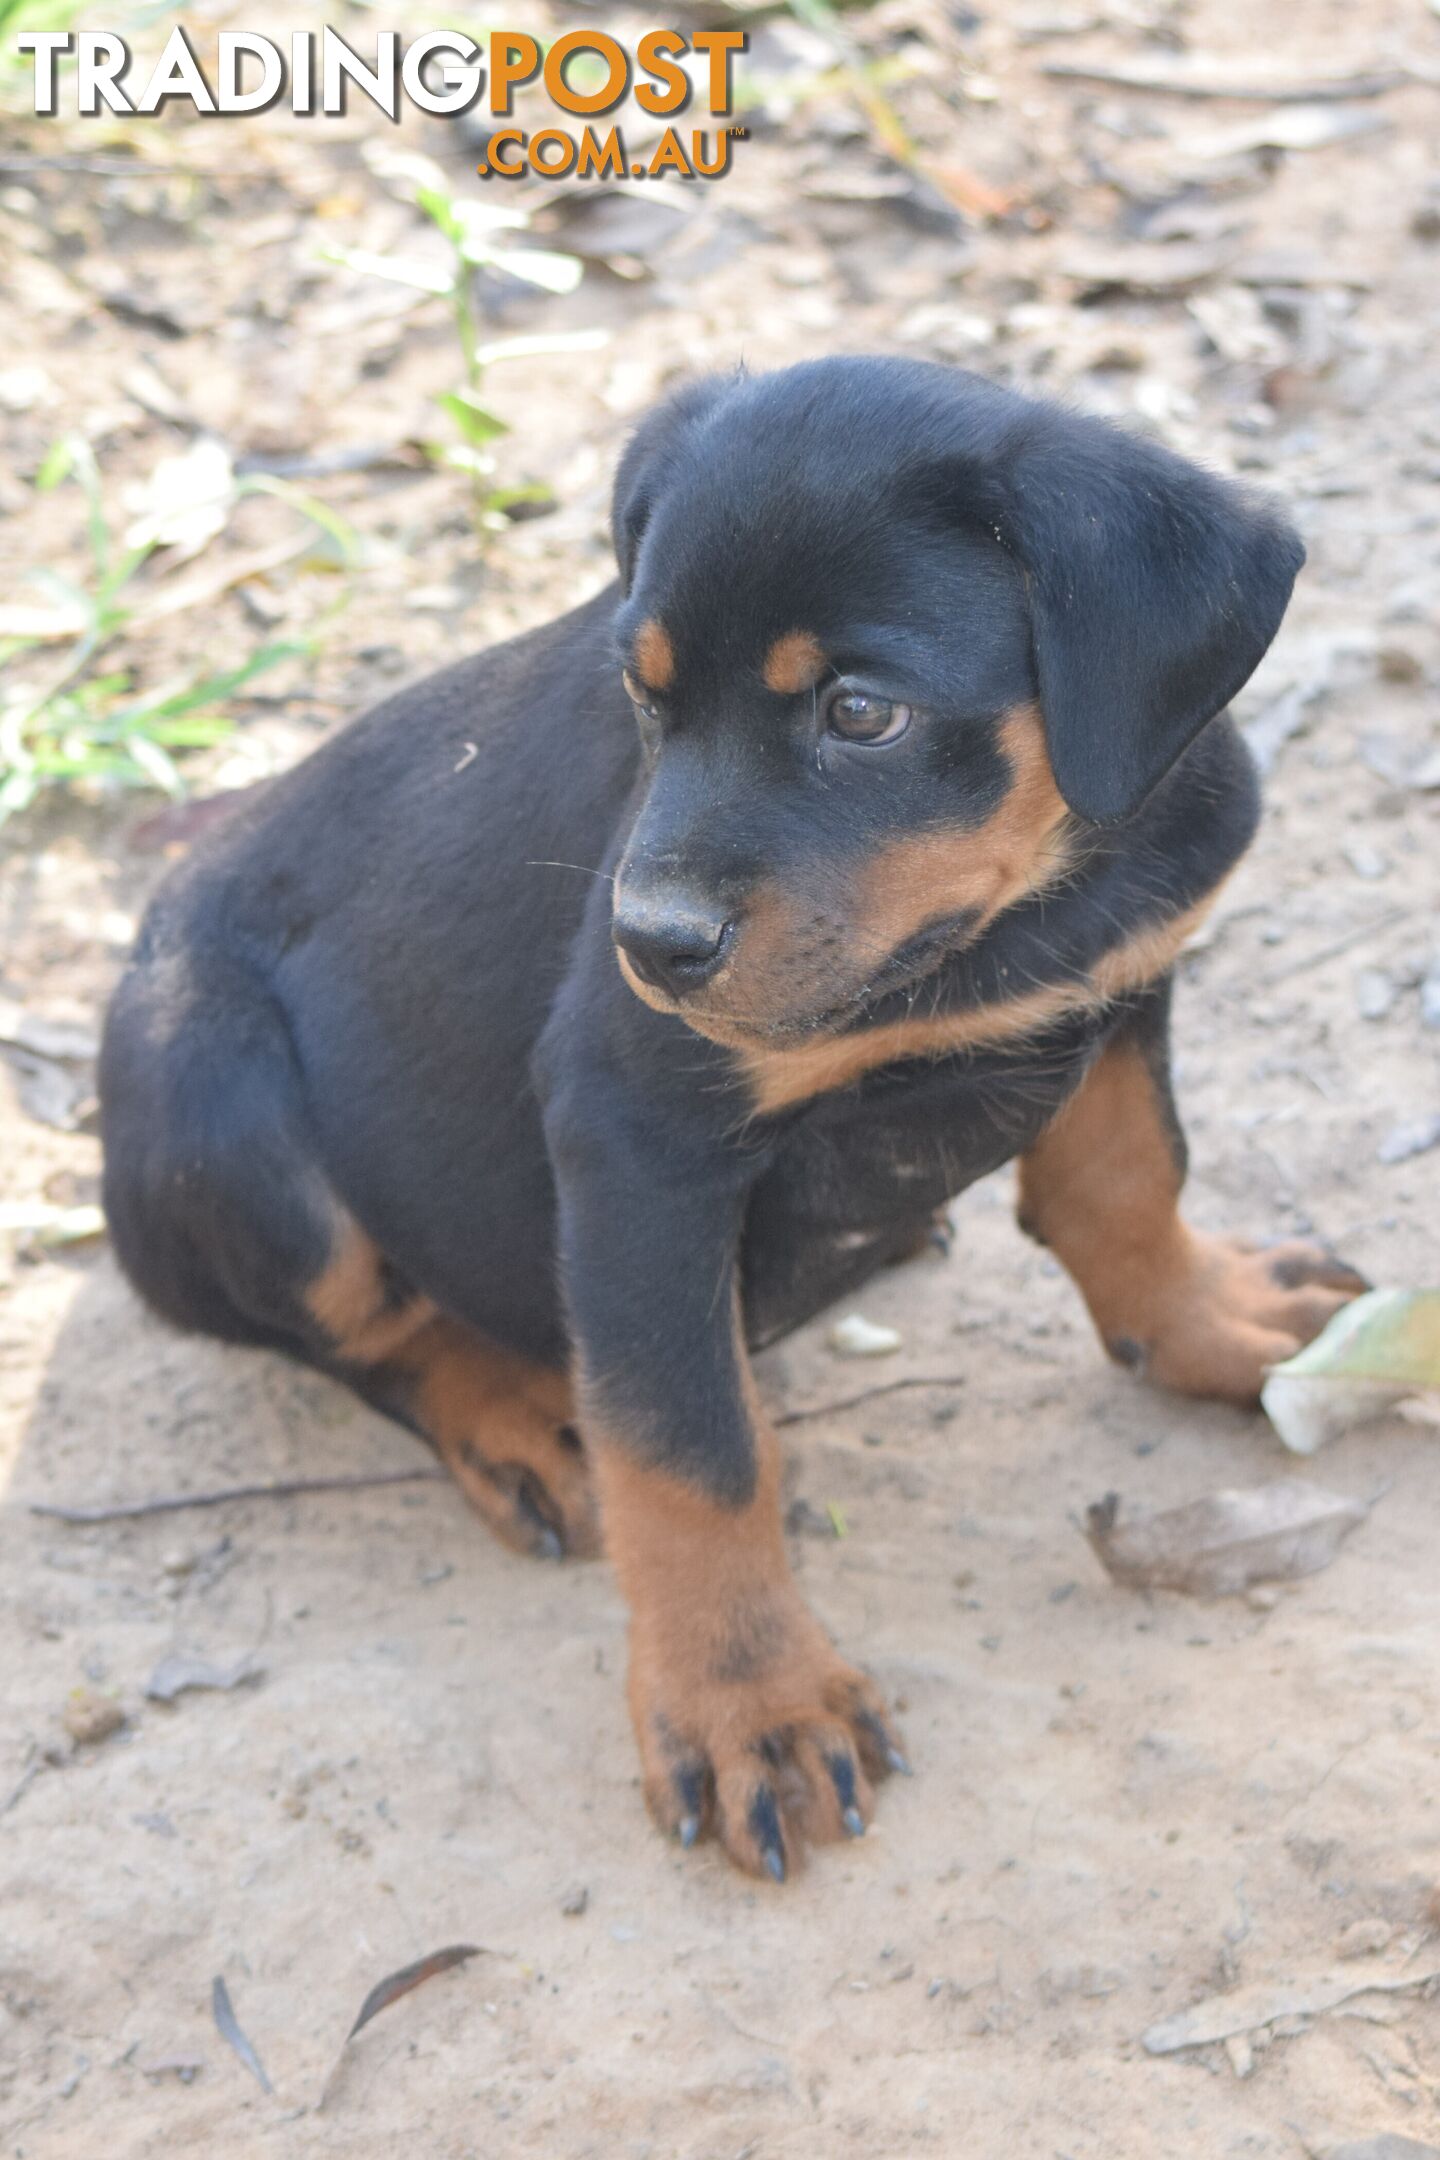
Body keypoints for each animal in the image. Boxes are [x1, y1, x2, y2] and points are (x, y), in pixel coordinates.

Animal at [98, 354, 1364, 1874]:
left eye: (860, 711)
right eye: (643, 701)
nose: (649, 944)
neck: (1009, 919)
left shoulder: (1122, 983)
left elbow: (1130, 1177)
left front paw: (1215, 1323)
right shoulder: (636, 1133)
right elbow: (688, 1446)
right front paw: (748, 1706)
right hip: (215, 1107)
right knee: (363, 1325)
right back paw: (518, 1419)